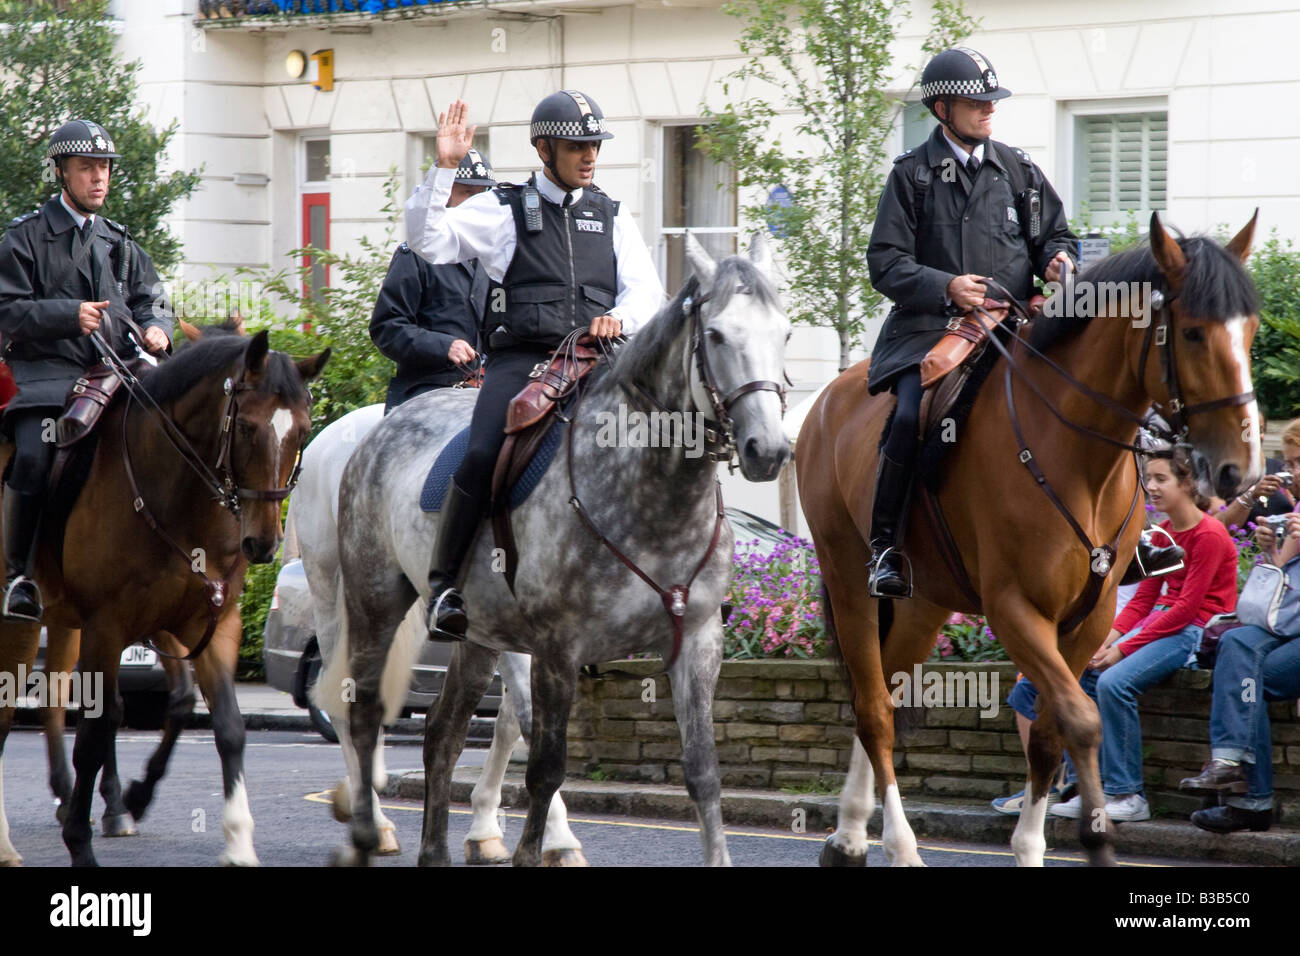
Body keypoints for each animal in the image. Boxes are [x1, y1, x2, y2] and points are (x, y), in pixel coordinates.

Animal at [0, 332, 330, 868]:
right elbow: (97, 729)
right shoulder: (109, 626)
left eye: (301, 431)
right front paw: (83, 840)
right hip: (24, 623)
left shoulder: (208, 623)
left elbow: (226, 725)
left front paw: (238, 843)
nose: (263, 543)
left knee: (46, 699)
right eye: (247, 427)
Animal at [292, 403, 587, 868]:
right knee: (345, 700)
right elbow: (524, 716)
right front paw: (559, 839)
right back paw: (375, 821)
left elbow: (508, 722)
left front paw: (485, 830)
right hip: (336, 595)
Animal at [330, 234, 785, 868]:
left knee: (442, 732)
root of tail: (385, 425)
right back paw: (372, 833)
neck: (651, 498)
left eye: (783, 332)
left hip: (479, 637)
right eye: (716, 335)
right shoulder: (557, 651)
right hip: (375, 602)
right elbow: (546, 769)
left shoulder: (697, 643)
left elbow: (703, 773)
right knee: (365, 711)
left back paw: (434, 850)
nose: (769, 449)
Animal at [795, 214, 1263, 868]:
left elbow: (1048, 733)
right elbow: (1082, 720)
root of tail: (827, 402)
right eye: (1193, 333)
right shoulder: (1017, 609)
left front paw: (1036, 844)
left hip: (922, 603)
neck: (1077, 456)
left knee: (886, 690)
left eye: (1251, 329)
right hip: (849, 582)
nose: (1240, 469)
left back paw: (849, 834)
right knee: (875, 711)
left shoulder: (1089, 617)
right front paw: (1096, 837)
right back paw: (899, 844)